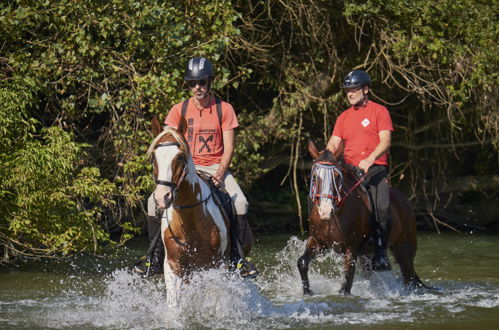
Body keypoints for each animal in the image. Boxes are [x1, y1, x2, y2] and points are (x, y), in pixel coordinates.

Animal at [147, 116, 250, 282]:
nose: (162, 197)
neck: (189, 217)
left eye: (180, 157)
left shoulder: (217, 265)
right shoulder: (173, 265)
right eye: (153, 157)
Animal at [296, 141, 430, 296]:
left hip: (404, 251)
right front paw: (308, 292)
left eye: (336, 176)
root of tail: (405, 202)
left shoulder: (351, 248)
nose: (325, 211)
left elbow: (347, 279)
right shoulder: (318, 242)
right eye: (315, 175)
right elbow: (302, 262)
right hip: (367, 255)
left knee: (409, 277)